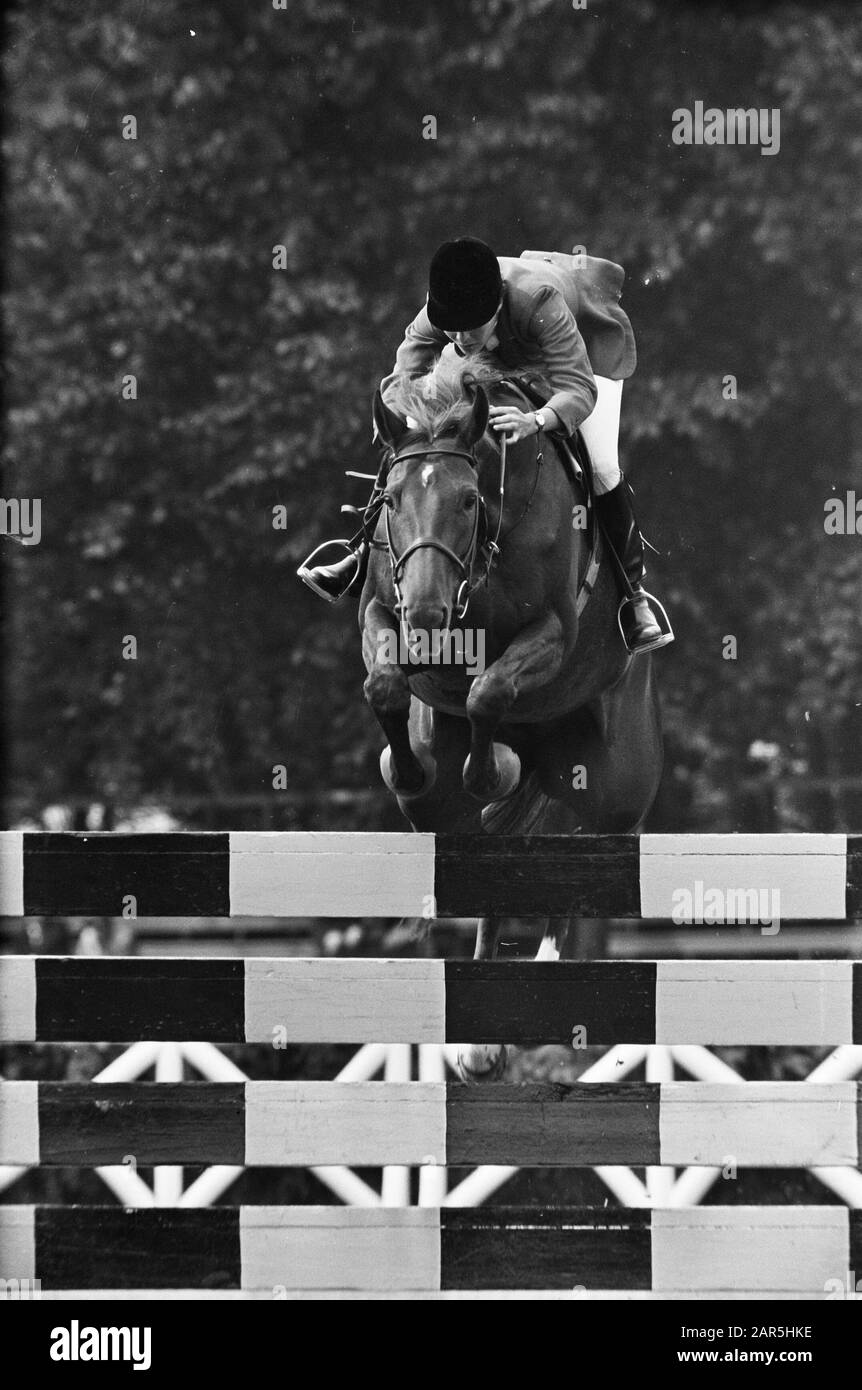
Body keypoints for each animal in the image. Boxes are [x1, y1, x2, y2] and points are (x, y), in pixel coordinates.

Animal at [355, 353, 659, 1078]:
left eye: (468, 500)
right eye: (391, 500)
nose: (429, 615)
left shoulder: (552, 631)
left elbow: (488, 694)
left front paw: (490, 771)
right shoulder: (381, 611)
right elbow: (387, 688)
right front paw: (414, 769)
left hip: (615, 787)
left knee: (580, 853)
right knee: (494, 856)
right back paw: (479, 1044)